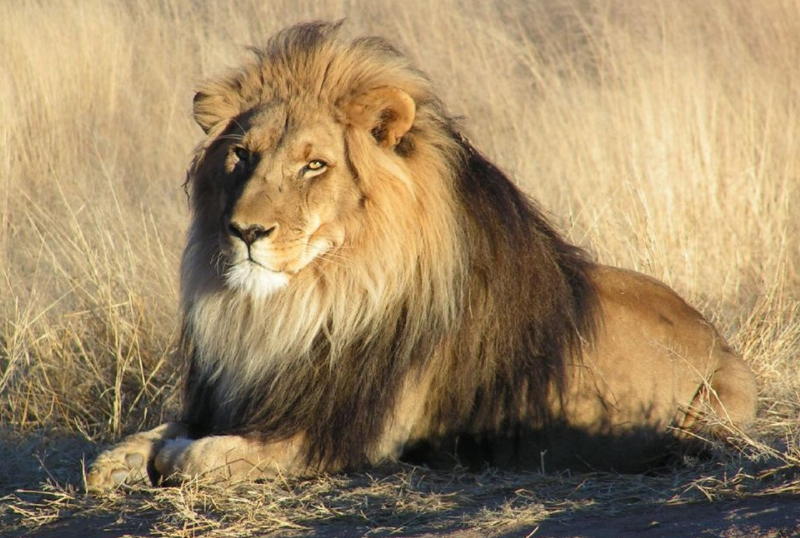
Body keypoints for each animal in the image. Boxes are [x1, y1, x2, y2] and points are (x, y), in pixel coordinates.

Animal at [87, 22, 757, 490]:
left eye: (314, 165)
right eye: (241, 156)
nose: (245, 231)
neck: (302, 305)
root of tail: (717, 335)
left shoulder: (347, 434)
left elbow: (199, 457)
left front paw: (172, 457)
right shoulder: (242, 395)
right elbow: (150, 436)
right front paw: (119, 461)